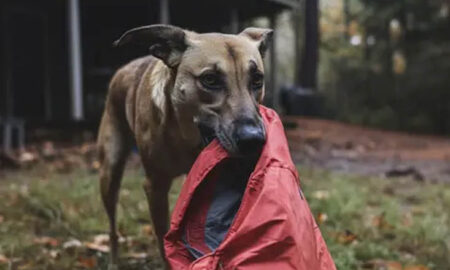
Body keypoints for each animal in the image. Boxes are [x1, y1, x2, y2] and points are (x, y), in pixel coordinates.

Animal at [97, 24, 272, 268]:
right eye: (210, 79)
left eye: (257, 80)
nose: (253, 140)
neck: (187, 138)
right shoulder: (155, 186)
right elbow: (163, 240)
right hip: (110, 170)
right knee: (113, 226)